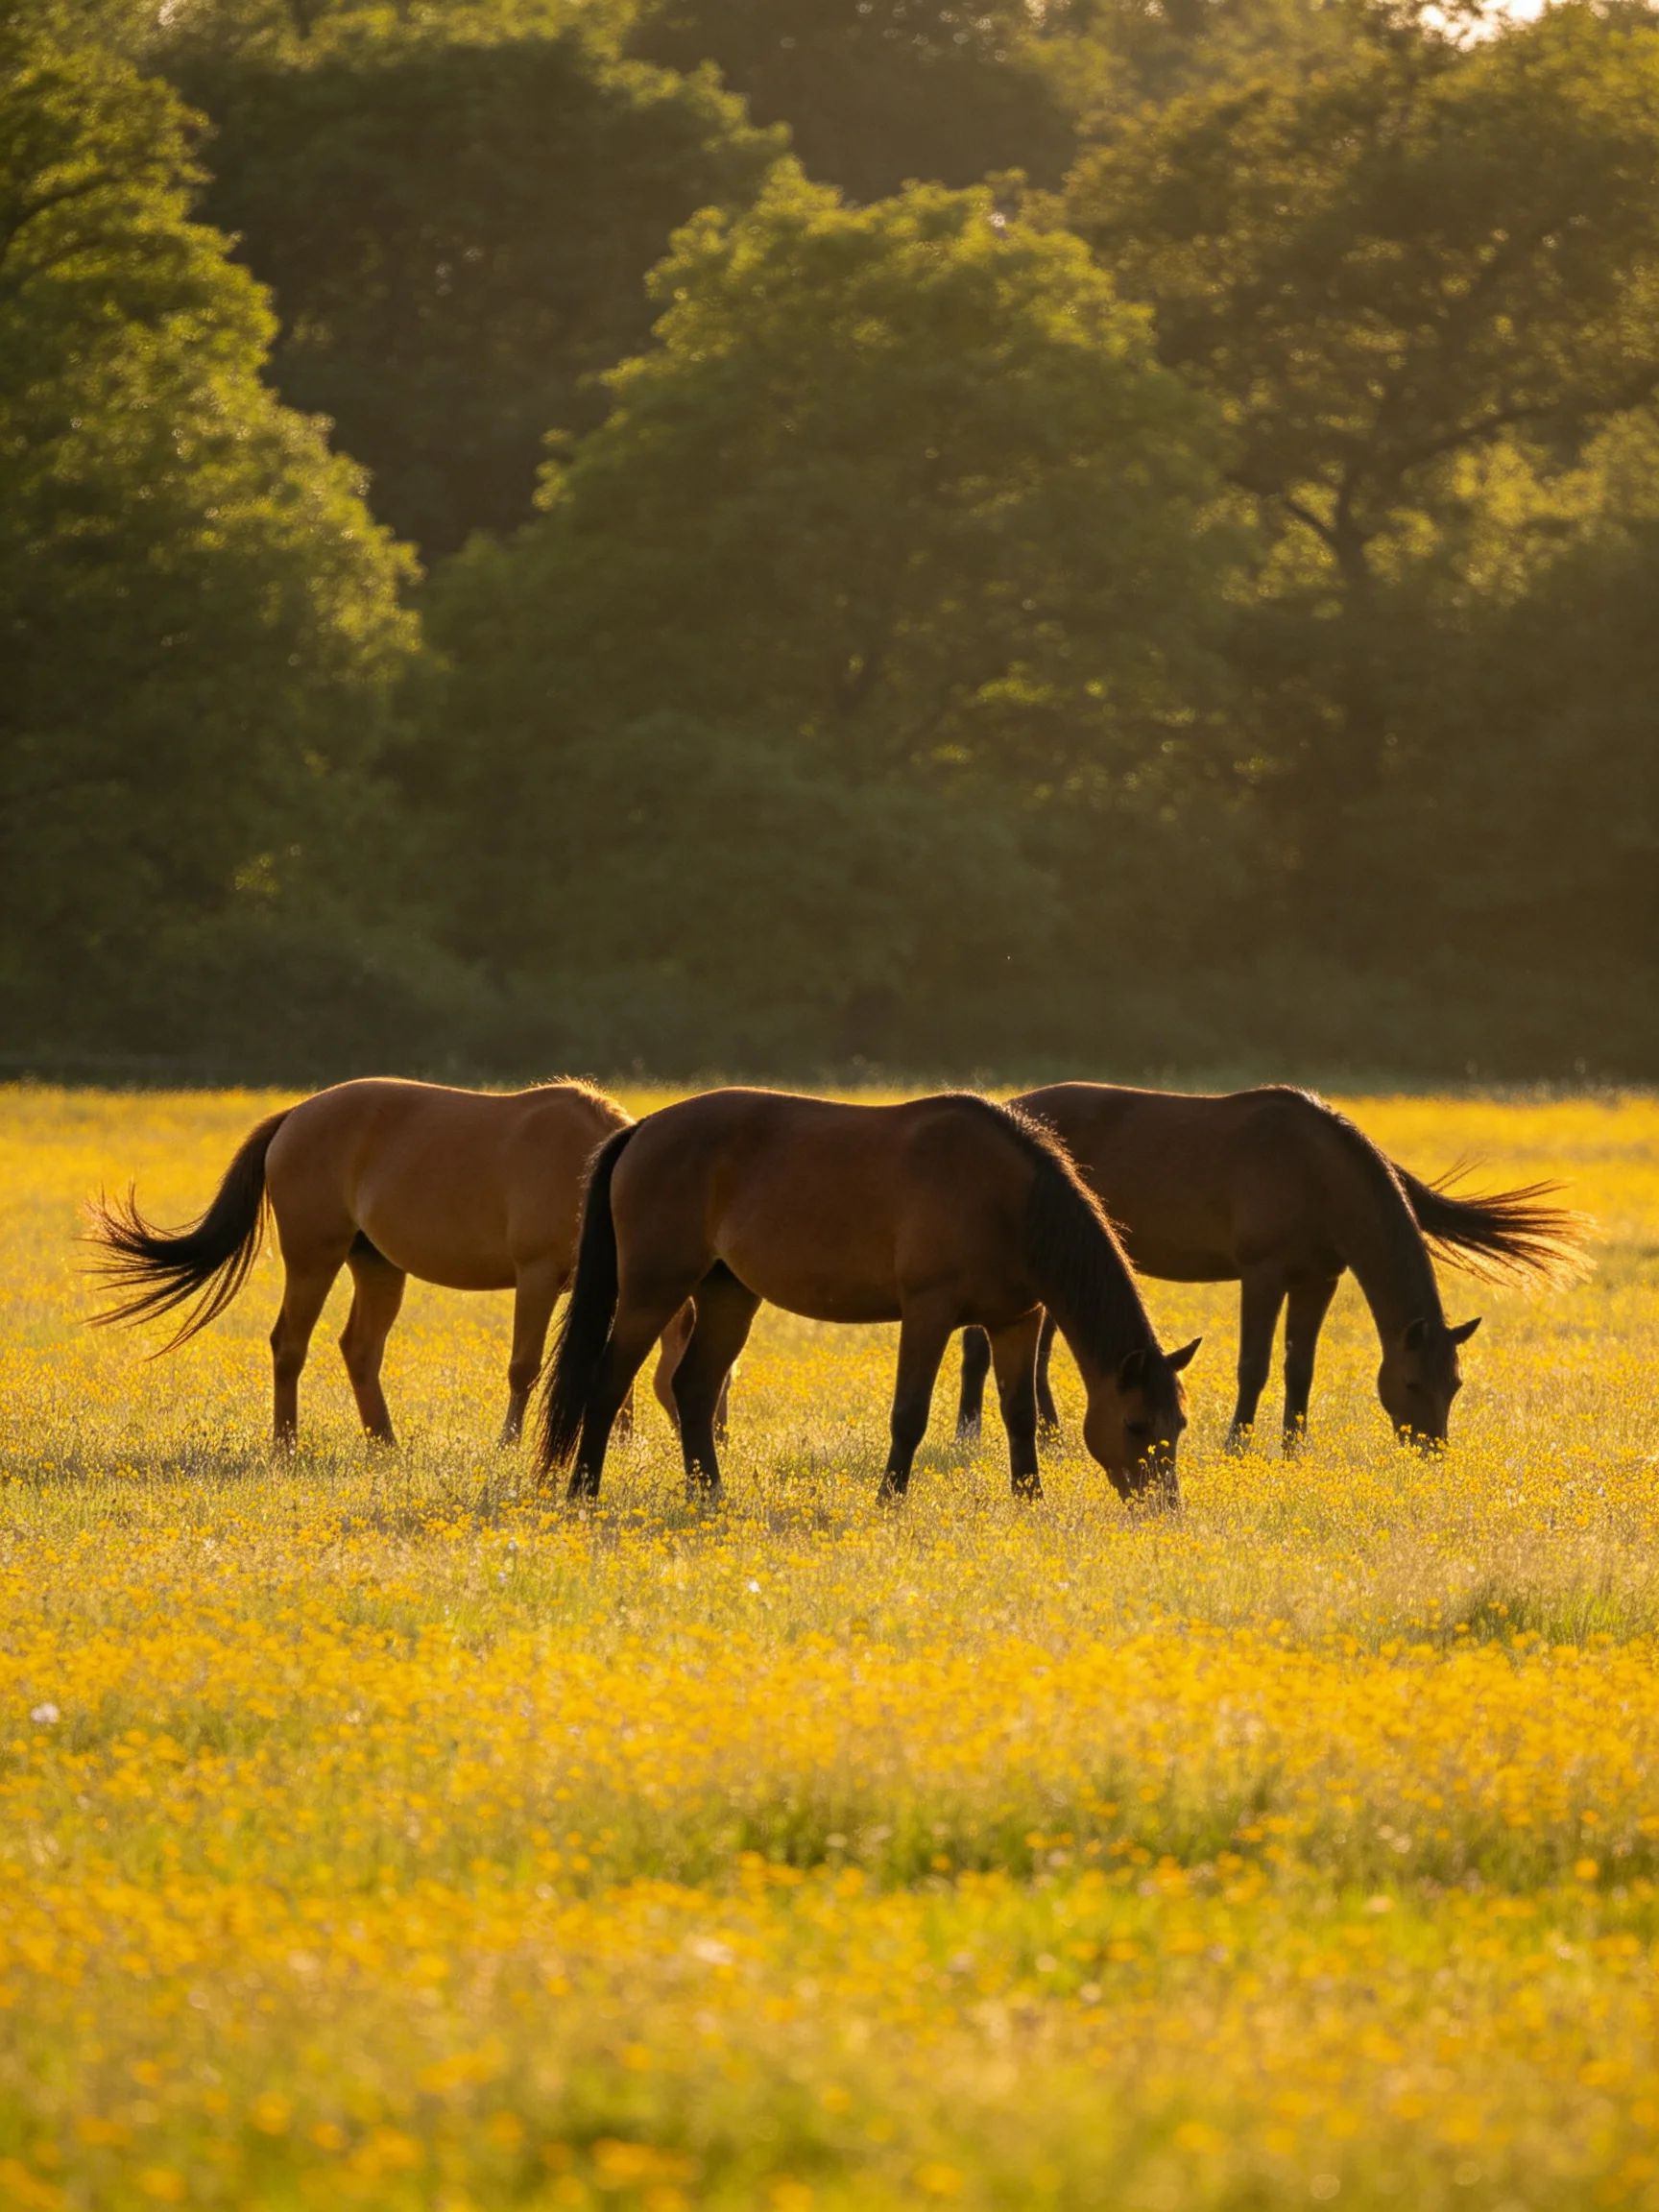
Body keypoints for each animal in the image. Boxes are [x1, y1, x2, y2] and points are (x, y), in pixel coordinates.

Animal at [88, 1077, 705, 1448]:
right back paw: (286, 1444)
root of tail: (294, 1116)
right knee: (289, 1345)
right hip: (313, 1257)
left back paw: (384, 1441)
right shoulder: (537, 1277)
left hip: (378, 1266)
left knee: (360, 1349)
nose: (712, 1435)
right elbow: (523, 1367)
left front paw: (619, 1440)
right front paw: (507, 1443)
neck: (596, 1169)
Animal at [538, 1087, 1201, 1507]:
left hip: (729, 1296)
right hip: (651, 1291)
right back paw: (582, 1492)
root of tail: (642, 1129)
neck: (1008, 1202)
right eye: (1136, 1424)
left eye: (1180, 1425)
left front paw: (1029, 1501)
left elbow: (1019, 1416)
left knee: (695, 1391)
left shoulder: (1017, 1319)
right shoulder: (928, 1312)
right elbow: (910, 1414)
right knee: (607, 1384)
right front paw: (890, 1501)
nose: (1161, 1508)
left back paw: (711, 1496)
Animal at [954, 1083, 1590, 1453]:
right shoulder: (1262, 1275)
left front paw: (1293, 1447)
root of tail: (1015, 1110)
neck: (1318, 1172)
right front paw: (1238, 1443)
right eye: (1411, 1382)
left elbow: (1299, 1367)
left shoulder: (1319, 1280)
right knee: (984, 1348)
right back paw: (972, 1434)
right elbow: (1253, 1366)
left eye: (1455, 1385)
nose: (1431, 1451)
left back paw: (1048, 1435)